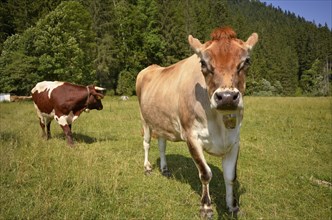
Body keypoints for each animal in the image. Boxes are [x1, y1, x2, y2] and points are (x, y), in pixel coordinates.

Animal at [136, 26, 258, 217]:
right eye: (203, 63)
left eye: (246, 61)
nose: (227, 97)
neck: (219, 125)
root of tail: (151, 67)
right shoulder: (191, 136)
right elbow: (205, 173)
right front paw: (206, 207)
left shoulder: (235, 140)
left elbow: (230, 176)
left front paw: (232, 206)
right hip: (145, 119)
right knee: (147, 143)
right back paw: (147, 167)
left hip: (161, 121)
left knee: (162, 145)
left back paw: (165, 169)